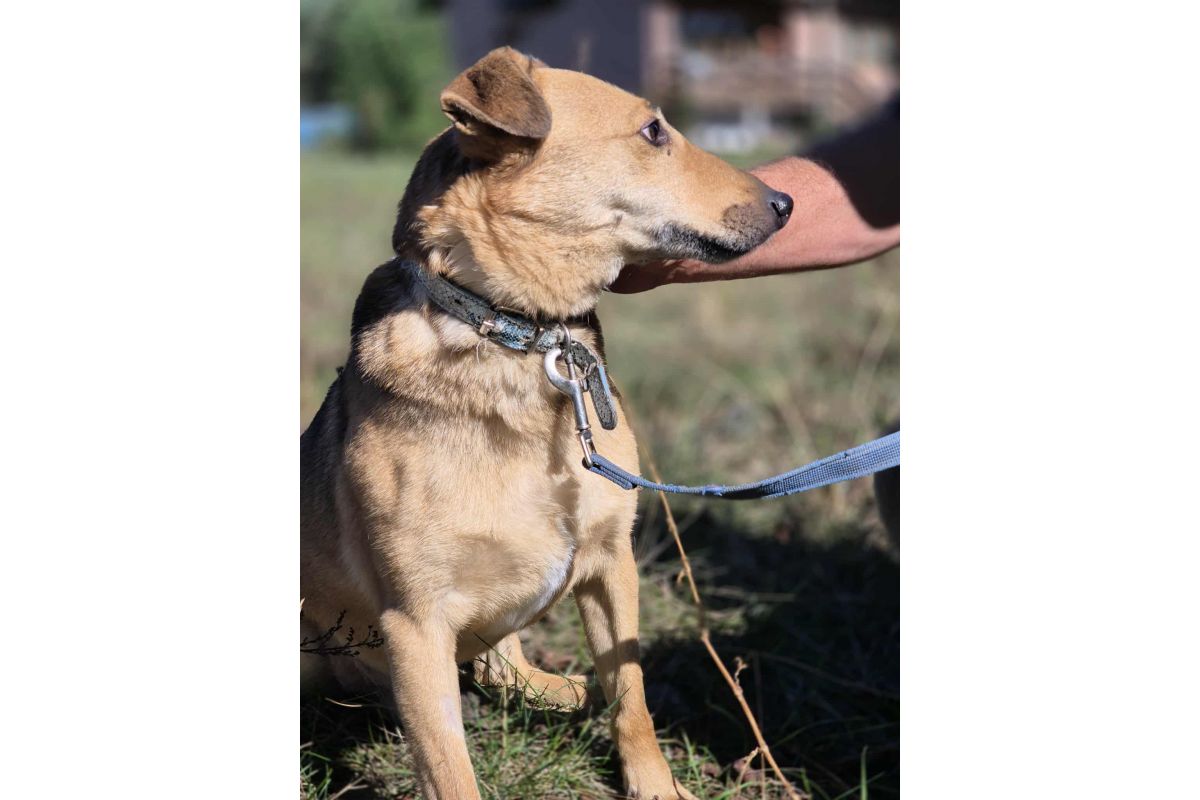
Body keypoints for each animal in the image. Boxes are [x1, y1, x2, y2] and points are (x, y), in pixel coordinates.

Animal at [301, 46, 792, 799]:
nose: (786, 203)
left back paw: (560, 688)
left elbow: (632, 698)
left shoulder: (611, 563)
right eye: (653, 131)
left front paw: (655, 785)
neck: (525, 337)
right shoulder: (415, 624)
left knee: (504, 661)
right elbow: (449, 766)